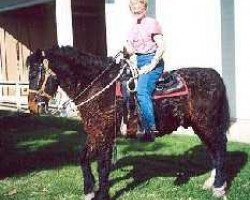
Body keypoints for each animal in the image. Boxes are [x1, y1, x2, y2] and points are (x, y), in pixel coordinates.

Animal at [27, 46, 230, 199]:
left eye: (34, 74)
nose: (33, 106)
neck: (100, 87)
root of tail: (215, 75)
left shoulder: (106, 134)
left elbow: (103, 166)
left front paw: (102, 195)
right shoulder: (95, 131)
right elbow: (83, 157)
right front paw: (89, 190)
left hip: (207, 124)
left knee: (220, 149)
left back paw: (219, 187)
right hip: (200, 125)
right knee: (214, 151)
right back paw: (211, 182)